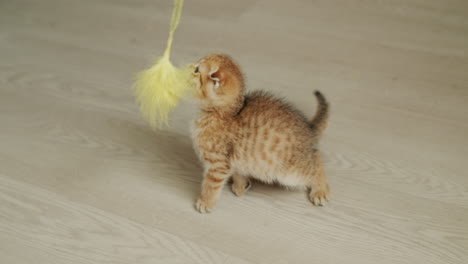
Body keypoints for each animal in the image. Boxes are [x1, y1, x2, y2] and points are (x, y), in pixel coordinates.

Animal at [190, 53, 330, 212]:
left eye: (197, 70)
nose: (190, 65)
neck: (222, 113)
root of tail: (309, 130)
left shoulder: (217, 165)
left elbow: (211, 185)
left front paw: (205, 201)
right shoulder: (234, 158)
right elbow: (238, 170)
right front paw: (241, 185)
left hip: (289, 174)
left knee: (316, 161)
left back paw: (320, 190)